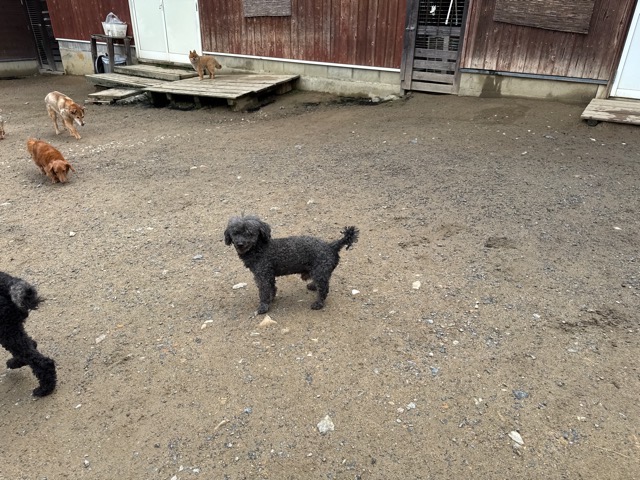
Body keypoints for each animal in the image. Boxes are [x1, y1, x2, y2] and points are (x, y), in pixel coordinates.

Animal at [225, 215, 359, 314]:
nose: (240, 243)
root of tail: (331, 246)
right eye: (235, 233)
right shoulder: (268, 274)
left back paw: (318, 304)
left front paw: (263, 306)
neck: (259, 249)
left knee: (324, 289)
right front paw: (271, 299)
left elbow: (264, 292)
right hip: (320, 271)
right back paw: (313, 285)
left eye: (249, 233)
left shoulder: (262, 275)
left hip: (320, 271)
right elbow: (272, 288)